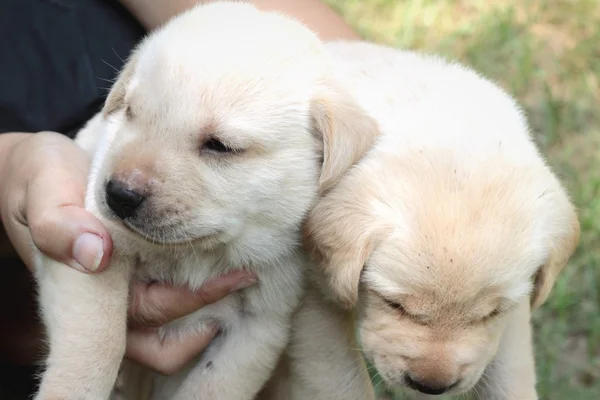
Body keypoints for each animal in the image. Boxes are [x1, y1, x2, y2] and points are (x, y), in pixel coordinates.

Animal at [32, 3, 378, 400]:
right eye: (130, 112)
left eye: (219, 146)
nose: (118, 195)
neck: (195, 255)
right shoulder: (98, 250)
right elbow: (97, 341)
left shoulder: (259, 327)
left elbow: (213, 386)